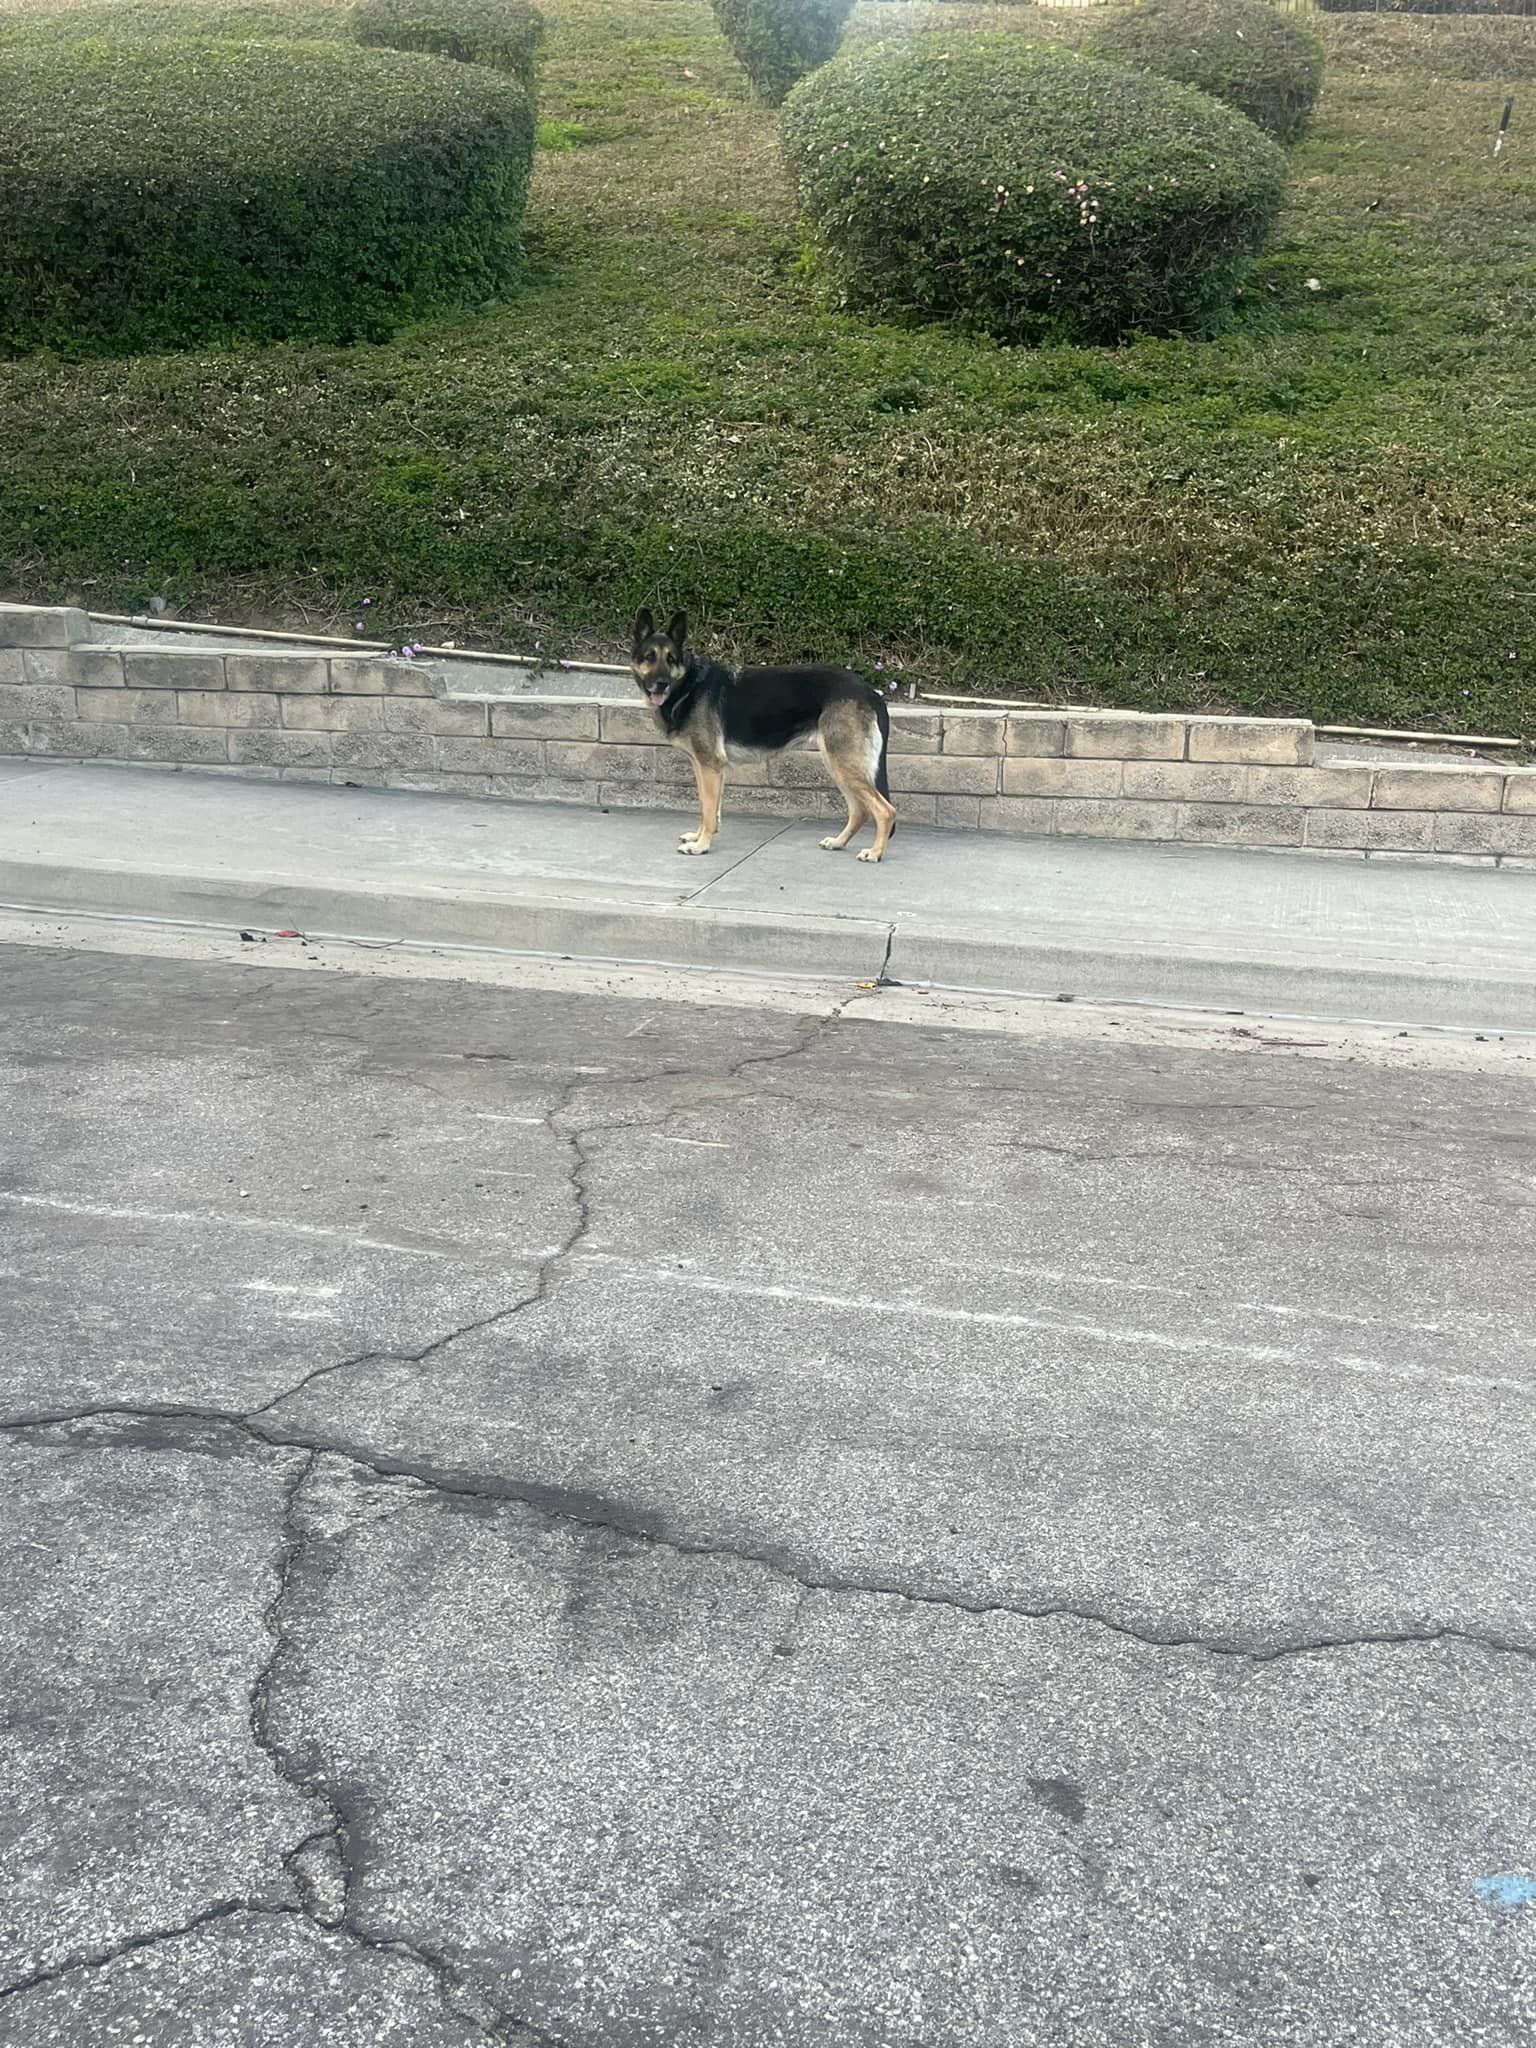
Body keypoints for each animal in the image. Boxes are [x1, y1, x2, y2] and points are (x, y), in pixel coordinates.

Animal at [626, 606, 897, 864]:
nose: (661, 683)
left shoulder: (710, 766)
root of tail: (869, 691)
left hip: (843, 764)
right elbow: (707, 807)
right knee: (860, 810)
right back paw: (839, 842)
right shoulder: (705, 767)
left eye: (671, 659)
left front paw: (701, 846)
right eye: (649, 657)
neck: (688, 685)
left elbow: (708, 809)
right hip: (837, 764)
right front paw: (699, 836)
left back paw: (875, 852)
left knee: (885, 811)